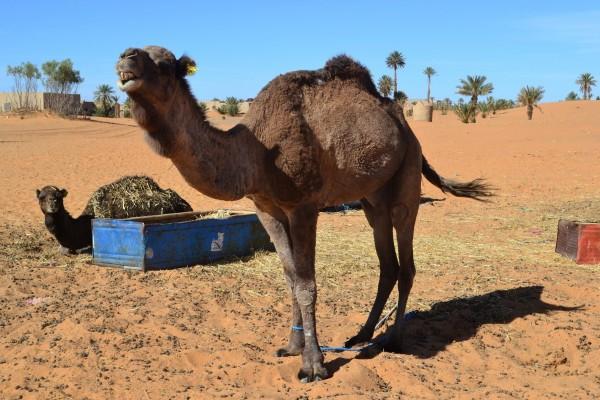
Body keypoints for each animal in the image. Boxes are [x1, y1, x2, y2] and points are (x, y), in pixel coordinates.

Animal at [116, 45, 492, 382]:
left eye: (166, 64)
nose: (126, 57)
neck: (257, 153)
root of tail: (406, 127)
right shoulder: (267, 209)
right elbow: (290, 277)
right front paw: (293, 346)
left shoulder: (304, 207)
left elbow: (307, 283)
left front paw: (313, 365)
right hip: (373, 201)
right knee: (388, 264)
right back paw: (362, 335)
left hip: (406, 178)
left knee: (407, 261)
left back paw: (394, 340)